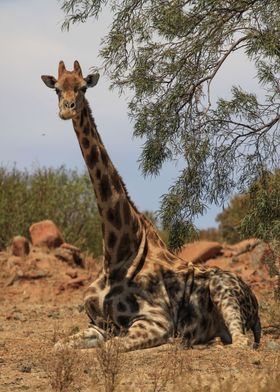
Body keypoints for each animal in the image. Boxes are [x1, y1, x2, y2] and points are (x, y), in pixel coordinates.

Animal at [40, 62, 262, 352]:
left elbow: (110, 347)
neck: (115, 255)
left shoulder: (155, 321)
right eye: (56, 89)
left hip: (223, 290)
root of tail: (256, 302)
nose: (68, 109)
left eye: (83, 87)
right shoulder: (98, 324)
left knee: (240, 341)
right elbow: (58, 346)